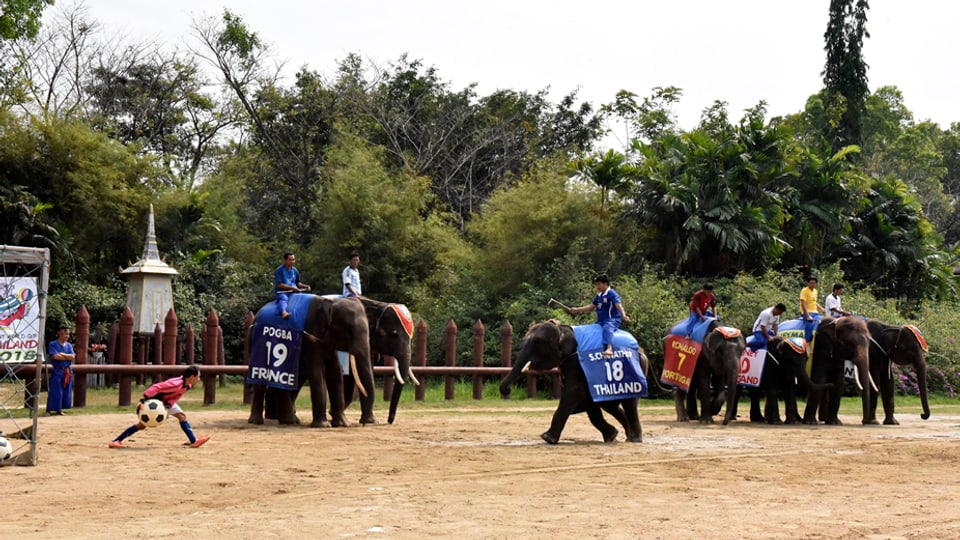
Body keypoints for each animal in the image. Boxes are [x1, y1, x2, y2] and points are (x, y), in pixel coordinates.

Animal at [248, 294, 376, 428]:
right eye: (348, 331)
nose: (362, 424)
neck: (330, 303)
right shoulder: (310, 336)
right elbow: (316, 371)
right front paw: (323, 425)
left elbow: (335, 372)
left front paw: (342, 424)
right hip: (256, 340)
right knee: (261, 381)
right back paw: (257, 421)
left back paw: (289, 421)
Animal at [498, 320, 648, 442]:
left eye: (537, 343)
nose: (507, 390)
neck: (562, 329)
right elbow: (587, 400)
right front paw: (611, 436)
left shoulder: (575, 361)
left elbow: (574, 392)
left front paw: (547, 438)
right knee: (610, 405)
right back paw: (626, 437)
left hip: (635, 367)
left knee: (629, 402)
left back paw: (634, 439)